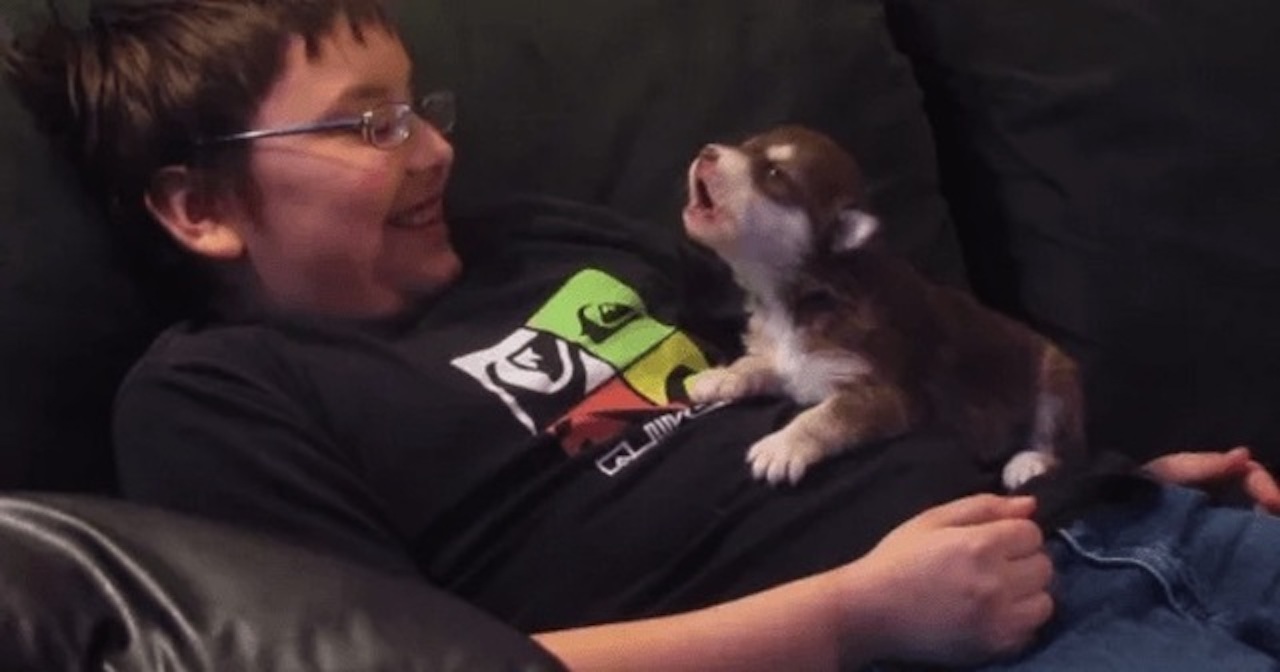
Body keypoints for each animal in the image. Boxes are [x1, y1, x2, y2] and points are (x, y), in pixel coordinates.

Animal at [681, 125, 1084, 489]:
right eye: (746, 144)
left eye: (774, 173)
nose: (706, 151)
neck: (800, 293)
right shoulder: (790, 363)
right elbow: (757, 364)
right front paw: (721, 377)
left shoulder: (883, 394)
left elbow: (826, 416)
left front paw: (781, 447)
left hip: (1056, 380)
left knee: (1058, 442)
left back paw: (1028, 462)